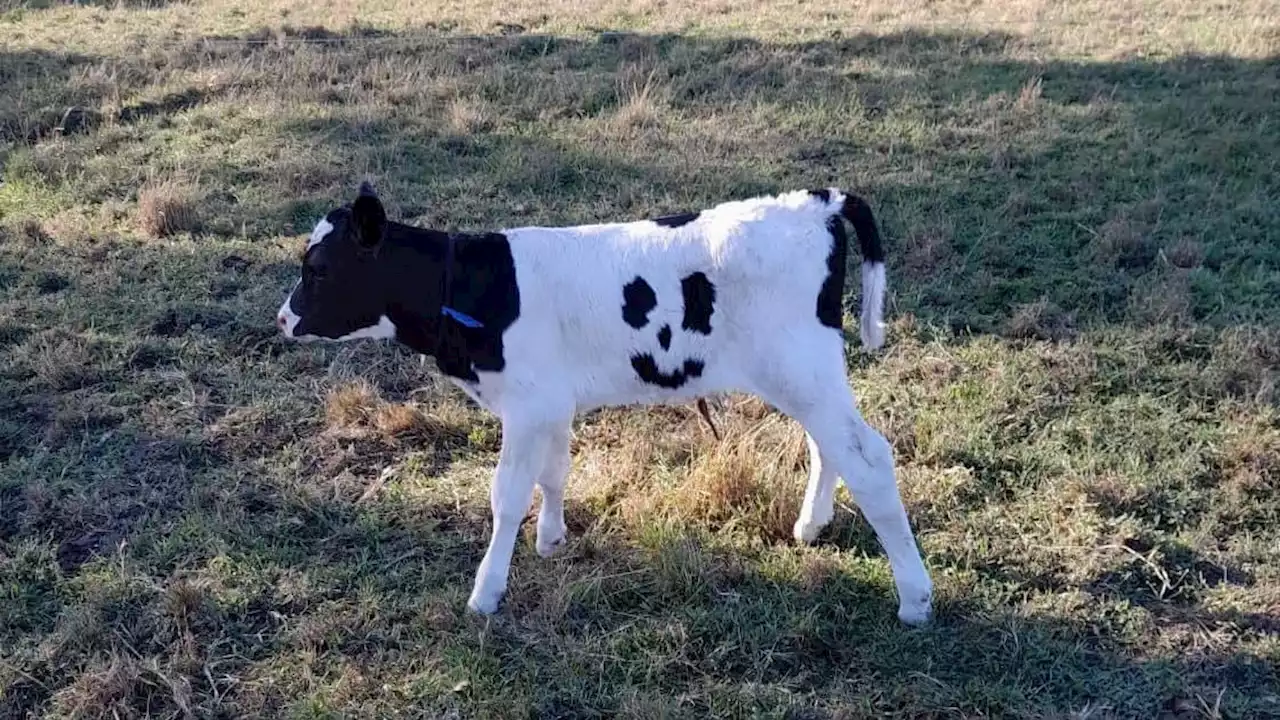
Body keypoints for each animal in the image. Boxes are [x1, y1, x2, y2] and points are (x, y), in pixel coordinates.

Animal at [275, 180, 936, 622]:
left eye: (321, 269)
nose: (282, 318)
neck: (471, 287)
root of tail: (818, 200)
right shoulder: (550, 402)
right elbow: (554, 471)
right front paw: (551, 539)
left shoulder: (526, 405)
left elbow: (506, 496)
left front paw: (486, 593)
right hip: (805, 376)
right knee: (832, 447)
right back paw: (810, 527)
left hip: (802, 370)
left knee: (870, 458)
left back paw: (915, 598)